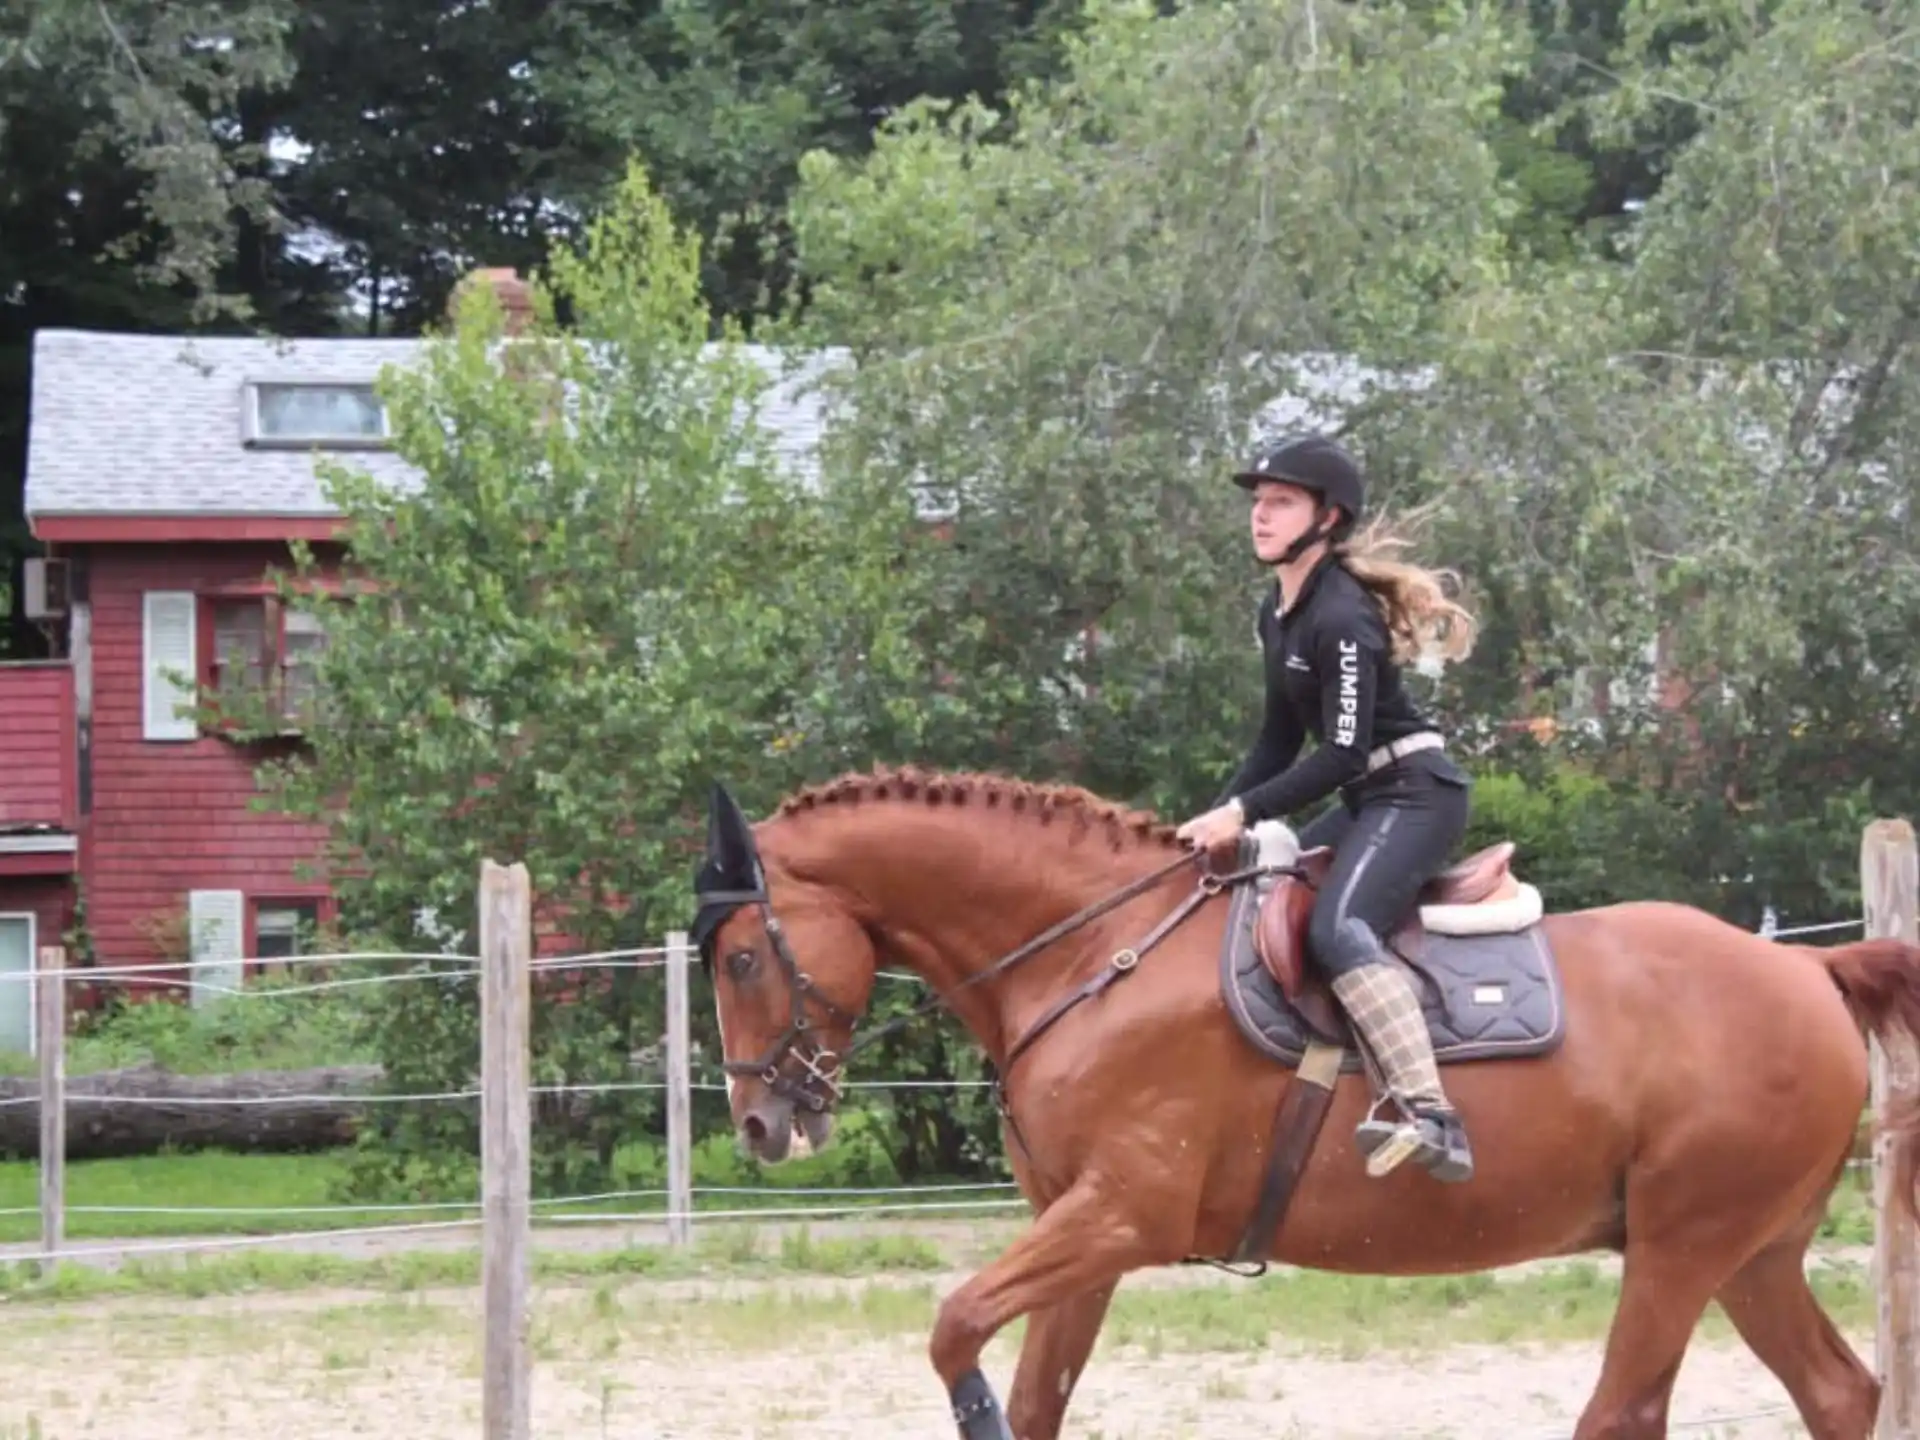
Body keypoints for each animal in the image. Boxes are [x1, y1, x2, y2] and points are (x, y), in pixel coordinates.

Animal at [688, 763, 1920, 1440]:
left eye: (743, 958)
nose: (761, 1124)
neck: (1094, 950)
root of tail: (1809, 969)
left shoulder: (1121, 1215)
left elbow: (954, 1331)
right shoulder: (1081, 1235)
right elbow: (1035, 1399)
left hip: (1682, 1245)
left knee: (1625, 1412)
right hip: (1748, 1254)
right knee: (1839, 1398)